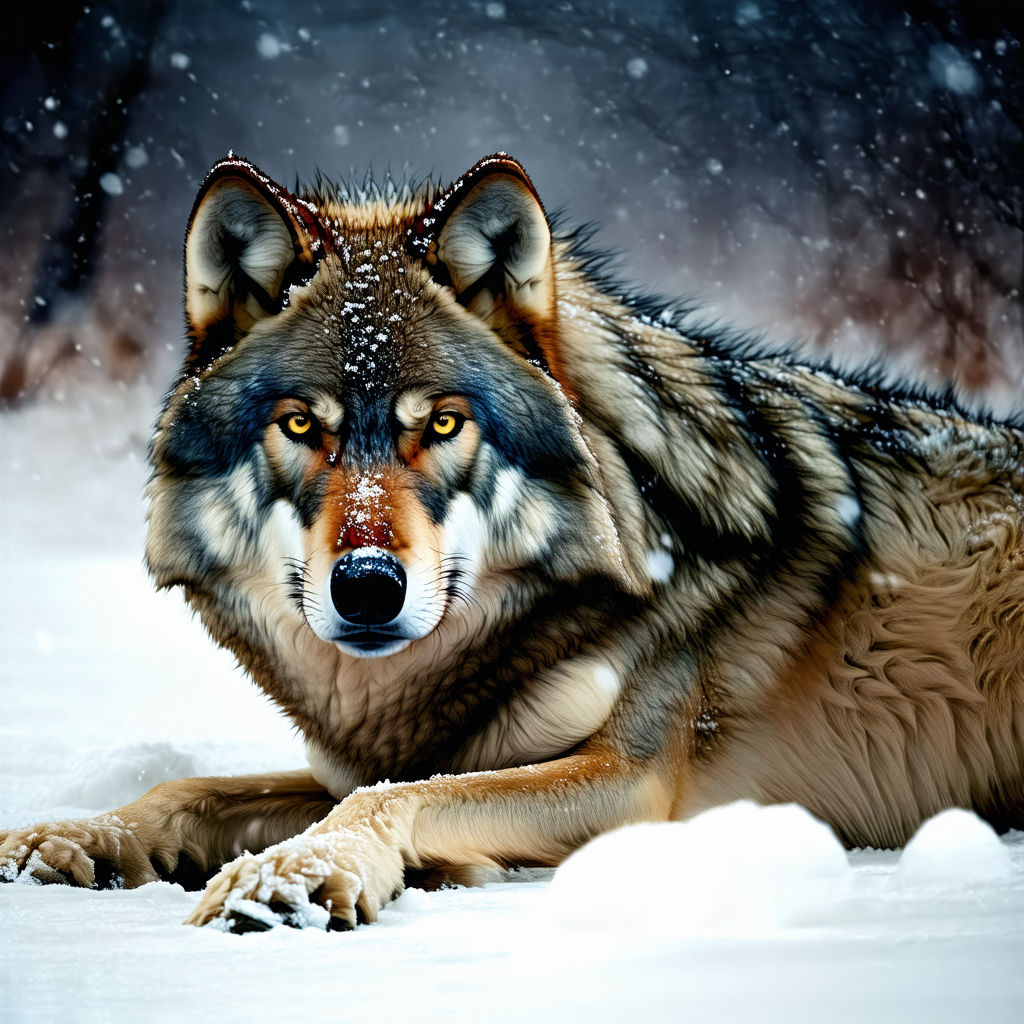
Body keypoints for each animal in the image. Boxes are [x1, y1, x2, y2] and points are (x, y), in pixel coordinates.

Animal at [2, 153, 1022, 932]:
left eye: (444, 423)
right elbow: (191, 791)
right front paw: (67, 839)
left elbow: (388, 797)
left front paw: (291, 874)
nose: (366, 586)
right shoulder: (381, 756)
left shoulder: (630, 783)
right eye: (301, 425)